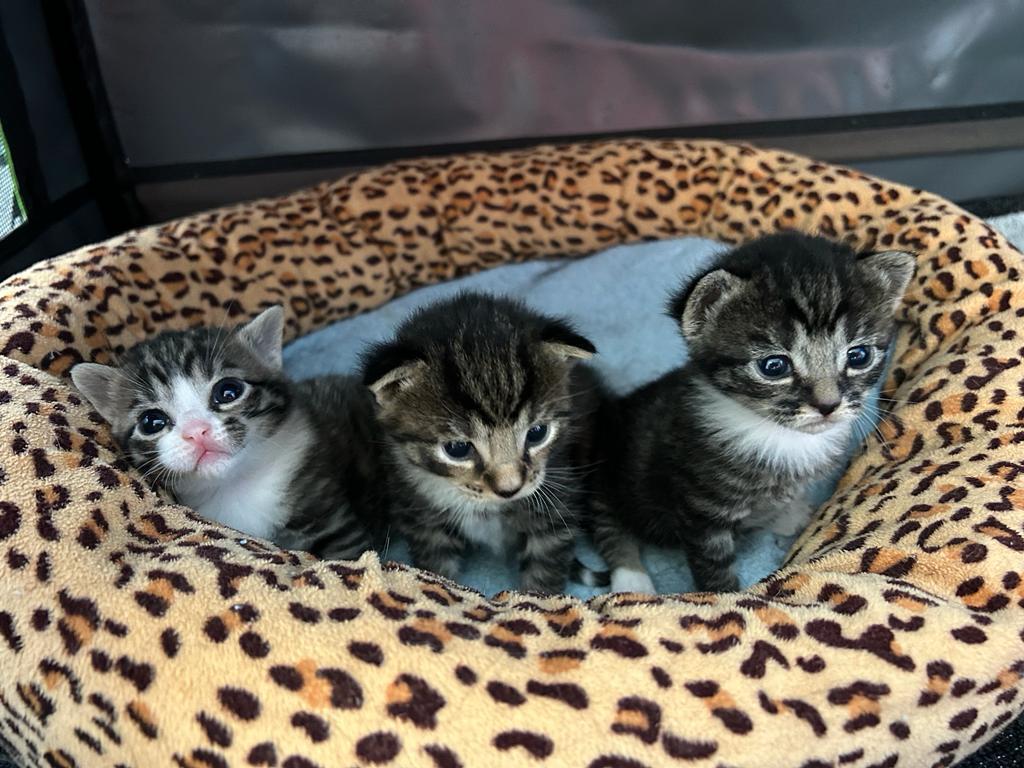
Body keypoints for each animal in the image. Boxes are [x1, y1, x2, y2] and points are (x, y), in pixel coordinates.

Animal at [362, 291, 598, 594]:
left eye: (537, 433)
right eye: (457, 449)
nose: (510, 489)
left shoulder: (555, 508)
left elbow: (544, 573)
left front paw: (536, 599)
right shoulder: (423, 519)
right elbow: (435, 572)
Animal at [589, 232, 916, 594]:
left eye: (858, 356)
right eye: (774, 366)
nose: (828, 405)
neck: (776, 433)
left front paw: (789, 514)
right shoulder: (700, 508)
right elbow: (712, 565)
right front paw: (723, 595)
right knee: (607, 523)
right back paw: (632, 580)